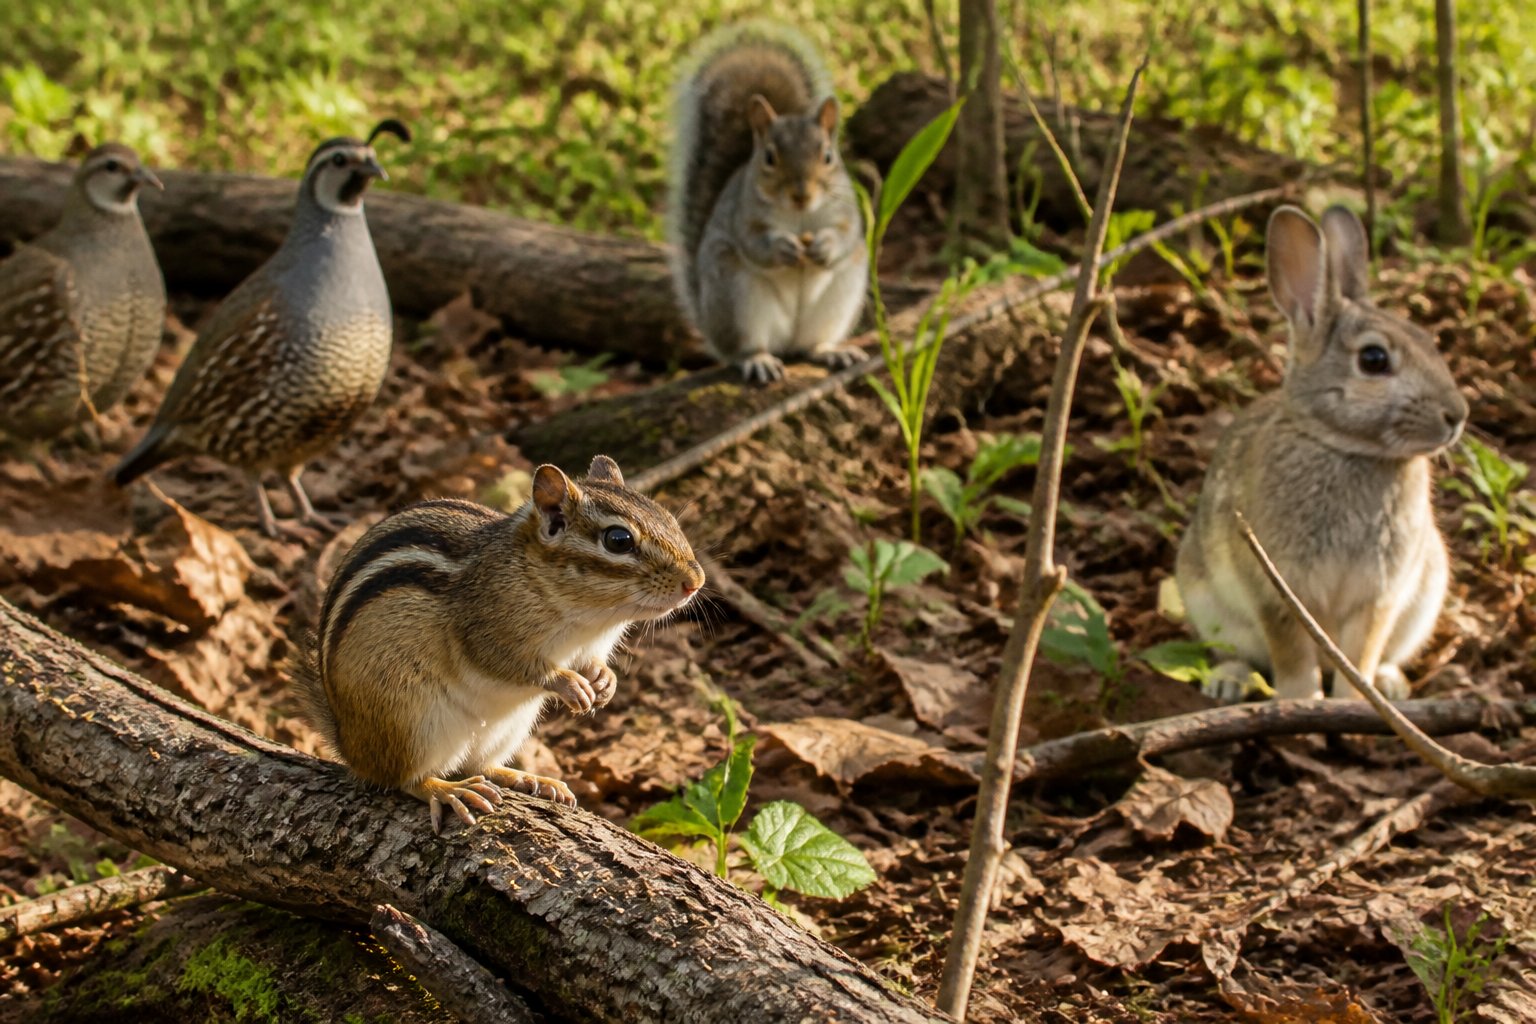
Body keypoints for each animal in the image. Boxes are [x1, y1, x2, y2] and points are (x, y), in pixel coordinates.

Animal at [297, 455, 705, 831]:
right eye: (618, 540)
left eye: (669, 518)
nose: (695, 582)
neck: (589, 619)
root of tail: (350, 745)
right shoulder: (485, 630)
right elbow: (510, 663)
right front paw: (569, 683)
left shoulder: (592, 645)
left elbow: (594, 663)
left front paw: (605, 682)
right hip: (410, 721)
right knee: (402, 779)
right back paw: (447, 790)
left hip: (508, 728)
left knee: (478, 764)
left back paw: (530, 779)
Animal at [668, 21, 869, 384]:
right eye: (770, 158)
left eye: (828, 156)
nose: (802, 194)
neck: (799, 218)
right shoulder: (743, 214)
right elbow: (754, 243)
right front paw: (782, 247)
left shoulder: (846, 210)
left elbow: (845, 235)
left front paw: (825, 246)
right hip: (736, 296)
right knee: (744, 346)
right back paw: (757, 359)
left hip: (840, 296)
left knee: (812, 344)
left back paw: (830, 350)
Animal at [1176, 203, 1468, 703]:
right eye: (1373, 360)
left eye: (1429, 341)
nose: (1457, 415)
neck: (1344, 446)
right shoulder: (1275, 588)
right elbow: (1292, 652)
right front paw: (1301, 701)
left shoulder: (1378, 596)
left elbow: (1360, 654)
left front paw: (1353, 702)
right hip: (1208, 603)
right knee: (1234, 651)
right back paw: (1227, 683)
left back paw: (1391, 686)